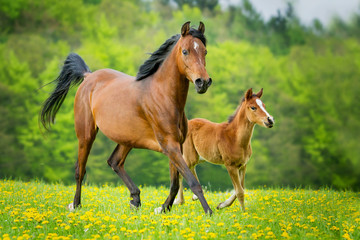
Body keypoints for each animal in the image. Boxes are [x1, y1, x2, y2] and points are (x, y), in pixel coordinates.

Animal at [41, 22, 214, 214]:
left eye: (205, 51)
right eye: (185, 51)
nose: (203, 82)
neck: (164, 97)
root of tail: (88, 76)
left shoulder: (176, 146)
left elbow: (175, 183)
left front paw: (163, 208)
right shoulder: (170, 145)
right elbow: (192, 182)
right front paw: (209, 212)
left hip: (127, 139)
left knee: (114, 162)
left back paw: (135, 199)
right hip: (86, 135)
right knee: (81, 169)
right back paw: (76, 205)